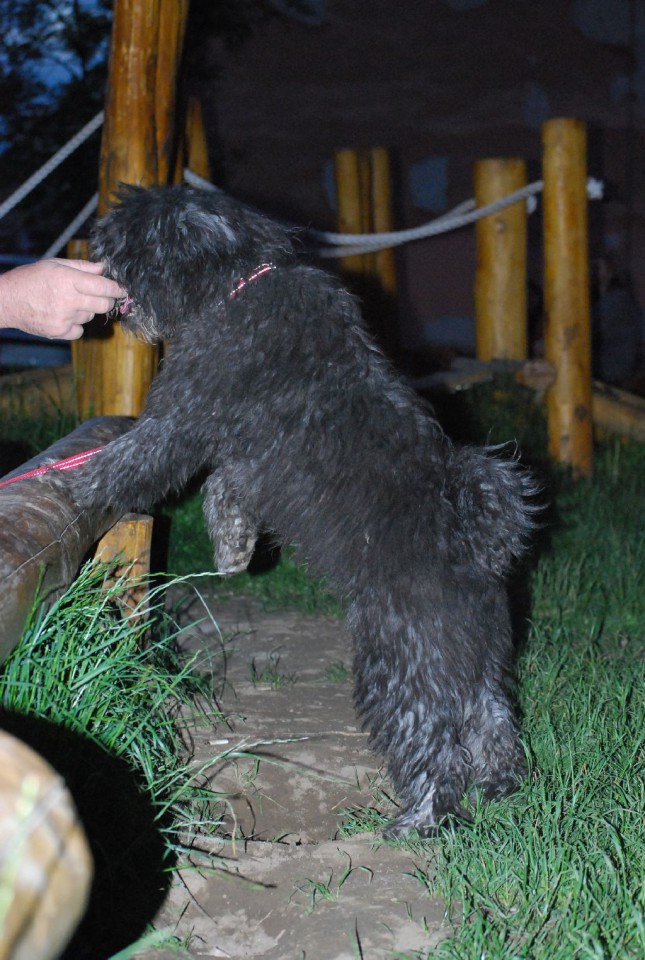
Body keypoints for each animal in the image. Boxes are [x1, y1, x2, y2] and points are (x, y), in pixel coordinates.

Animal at [69, 184, 532, 836]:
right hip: (476, 663)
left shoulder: (184, 415)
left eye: (127, 237)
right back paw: (500, 788)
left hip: (401, 664)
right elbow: (222, 490)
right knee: (493, 723)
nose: (95, 249)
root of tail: (477, 545)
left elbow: (134, 459)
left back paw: (418, 820)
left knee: (435, 746)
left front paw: (80, 482)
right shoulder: (243, 459)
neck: (238, 283)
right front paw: (233, 549)